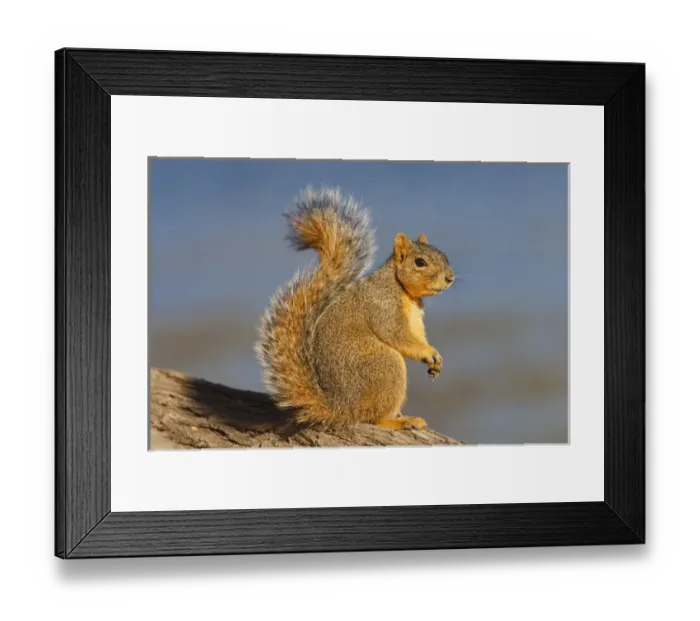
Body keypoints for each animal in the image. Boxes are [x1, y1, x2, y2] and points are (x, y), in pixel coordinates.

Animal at [255, 187, 456, 431]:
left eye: (444, 255)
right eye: (420, 262)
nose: (450, 278)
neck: (402, 290)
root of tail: (340, 408)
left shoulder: (415, 318)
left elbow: (417, 335)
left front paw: (435, 357)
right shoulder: (383, 306)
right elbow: (399, 335)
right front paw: (428, 353)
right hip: (385, 366)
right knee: (373, 418)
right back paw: (400, 421)